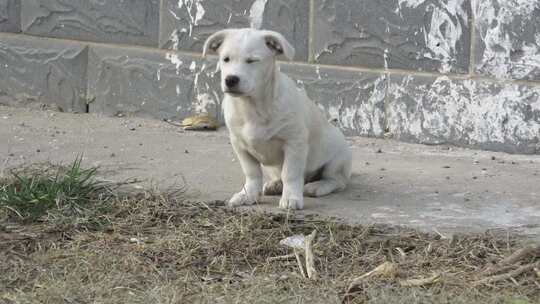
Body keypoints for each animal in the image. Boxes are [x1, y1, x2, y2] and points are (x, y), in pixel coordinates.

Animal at [201, 28, 350, 209]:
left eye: (252, 61)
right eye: (226, 59)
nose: (230, 79)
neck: (252, 107)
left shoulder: (294, 143)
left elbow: (290, 174)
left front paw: (291, 197)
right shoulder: (240, 146)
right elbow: (252, 172)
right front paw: (248, 194)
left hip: (337, 160)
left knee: (337, 180)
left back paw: (316, 186)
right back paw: (276, 185)